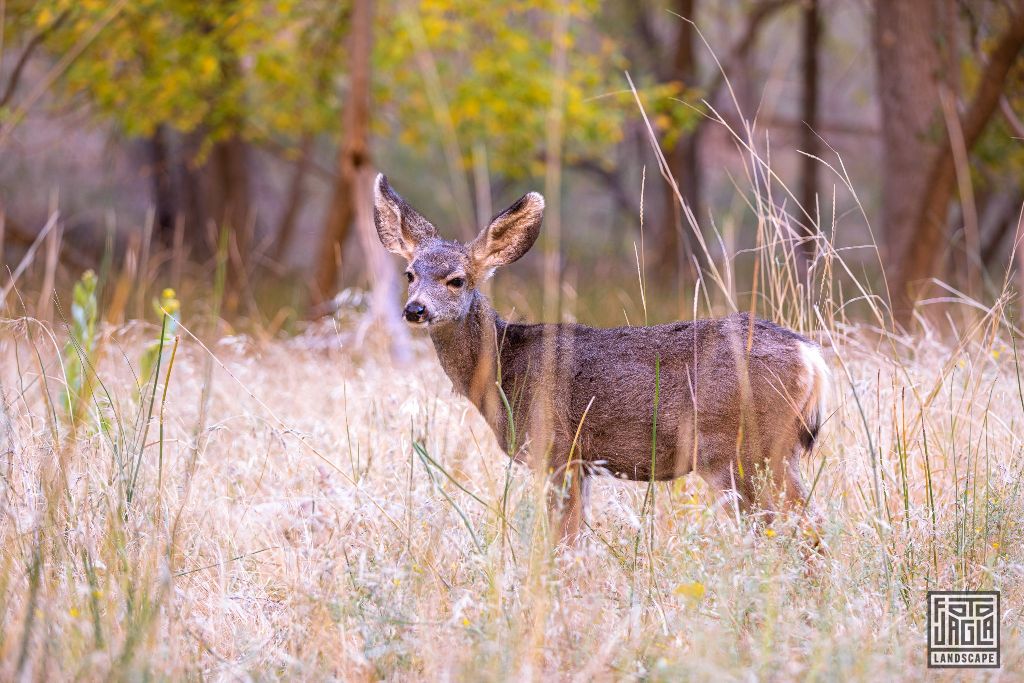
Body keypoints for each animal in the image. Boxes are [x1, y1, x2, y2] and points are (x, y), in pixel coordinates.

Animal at [373, 174, 829, 543]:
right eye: (410, 274)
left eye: (457, 280)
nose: (415, 309)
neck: (504, 368)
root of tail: (810, 357)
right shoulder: (582, 463)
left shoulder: (556, 449)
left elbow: (563, 542)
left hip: (746, 449)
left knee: (803, 527)